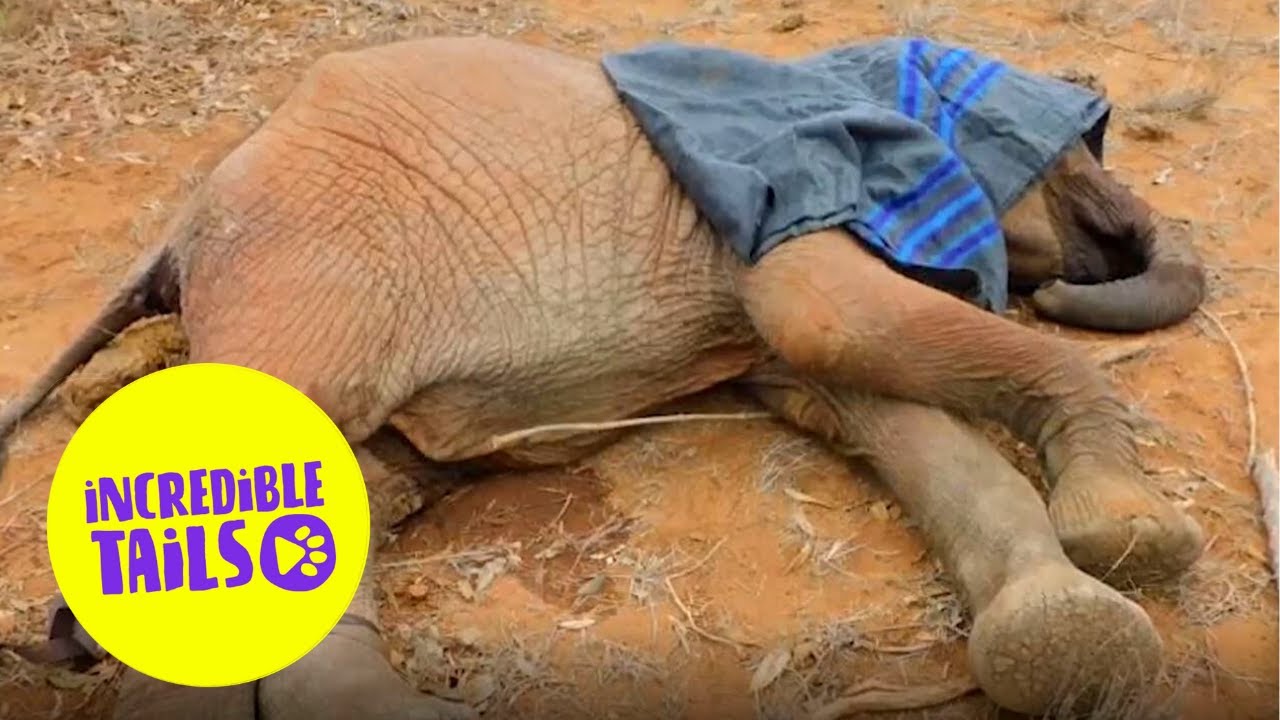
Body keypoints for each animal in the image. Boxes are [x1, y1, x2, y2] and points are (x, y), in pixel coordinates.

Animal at [0, 36, 1208, 718]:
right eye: (1075, 157)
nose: (1079, 278)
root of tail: (179, 229)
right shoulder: (789, 193)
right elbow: (829, 321)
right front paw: (1133, 540)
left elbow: (859, 388)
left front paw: (1068, 635)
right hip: (304, 275)